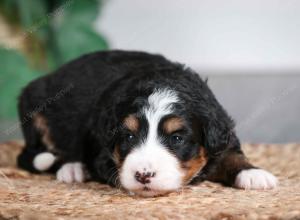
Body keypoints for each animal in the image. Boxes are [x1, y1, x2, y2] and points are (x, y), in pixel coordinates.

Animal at [17, 50, 278, 197]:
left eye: (177, 138)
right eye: (129, 137)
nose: (143, 176)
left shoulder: (221, 135)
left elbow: (231, 155)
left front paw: (253, 174)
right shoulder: (101, 148)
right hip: (34, 104)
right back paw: (72, 168)